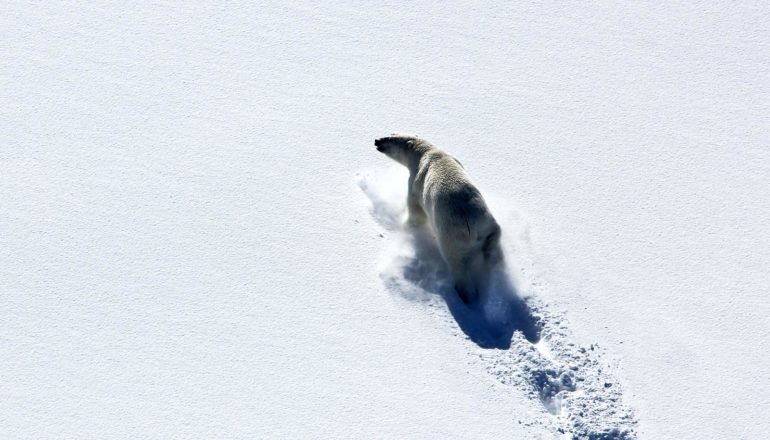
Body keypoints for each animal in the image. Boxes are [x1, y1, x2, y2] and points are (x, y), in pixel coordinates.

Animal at [374, 134, 504, 304]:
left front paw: (405, 222)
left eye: (389, 138)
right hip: (489, 222)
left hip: (452, 234)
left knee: (457, 263)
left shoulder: (416, 182)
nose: (376, 141)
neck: (426, 151)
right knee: (494, 242)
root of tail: (475, 228)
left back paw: (466, 295)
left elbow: (416, 211)